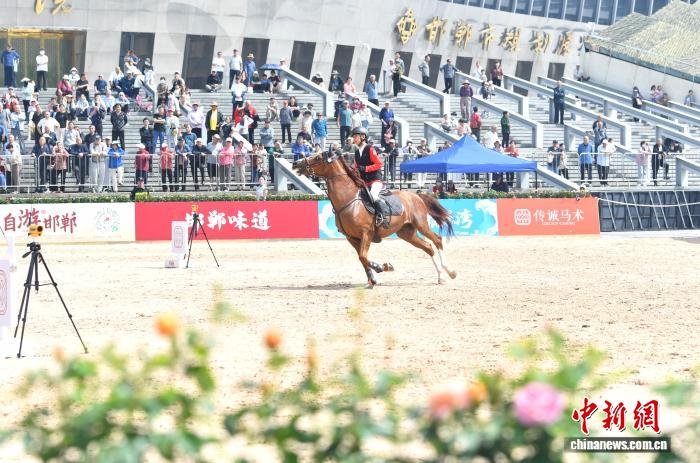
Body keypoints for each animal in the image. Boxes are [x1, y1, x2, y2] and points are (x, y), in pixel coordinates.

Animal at [294, 151, 457, 287]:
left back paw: (450, 272)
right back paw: (441, 277)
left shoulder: (366, 233)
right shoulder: (352, 238)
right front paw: (372, 280)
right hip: (406, 233)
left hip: (421, 224)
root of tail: (416, 195)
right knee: (428, 247)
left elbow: (363, 257)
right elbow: (362, 259)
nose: (296, 163)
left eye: (317, 158)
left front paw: (383, 267)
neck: (348, 201)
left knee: (437, 240)